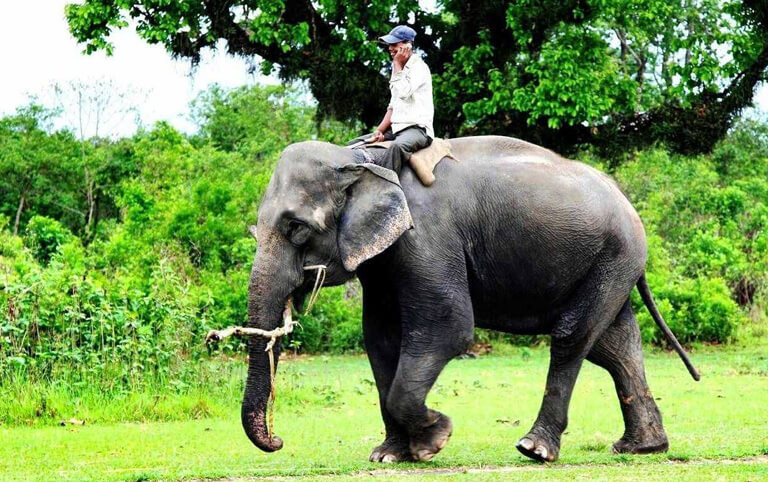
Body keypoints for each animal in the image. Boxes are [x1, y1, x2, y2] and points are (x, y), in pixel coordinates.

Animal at [241, 135, 699, 463]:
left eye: (297, 228)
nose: (279, 441)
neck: (363, 158)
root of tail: (626, 201)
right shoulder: (384, 260)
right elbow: (380, 338)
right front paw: (388, 456)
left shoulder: (426, 237)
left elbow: (448, 327)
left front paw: (434, 440)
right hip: (609, 263)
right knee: (614, 347)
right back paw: (641, 448)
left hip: (614, 254)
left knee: (573, 337)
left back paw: (535, 449)